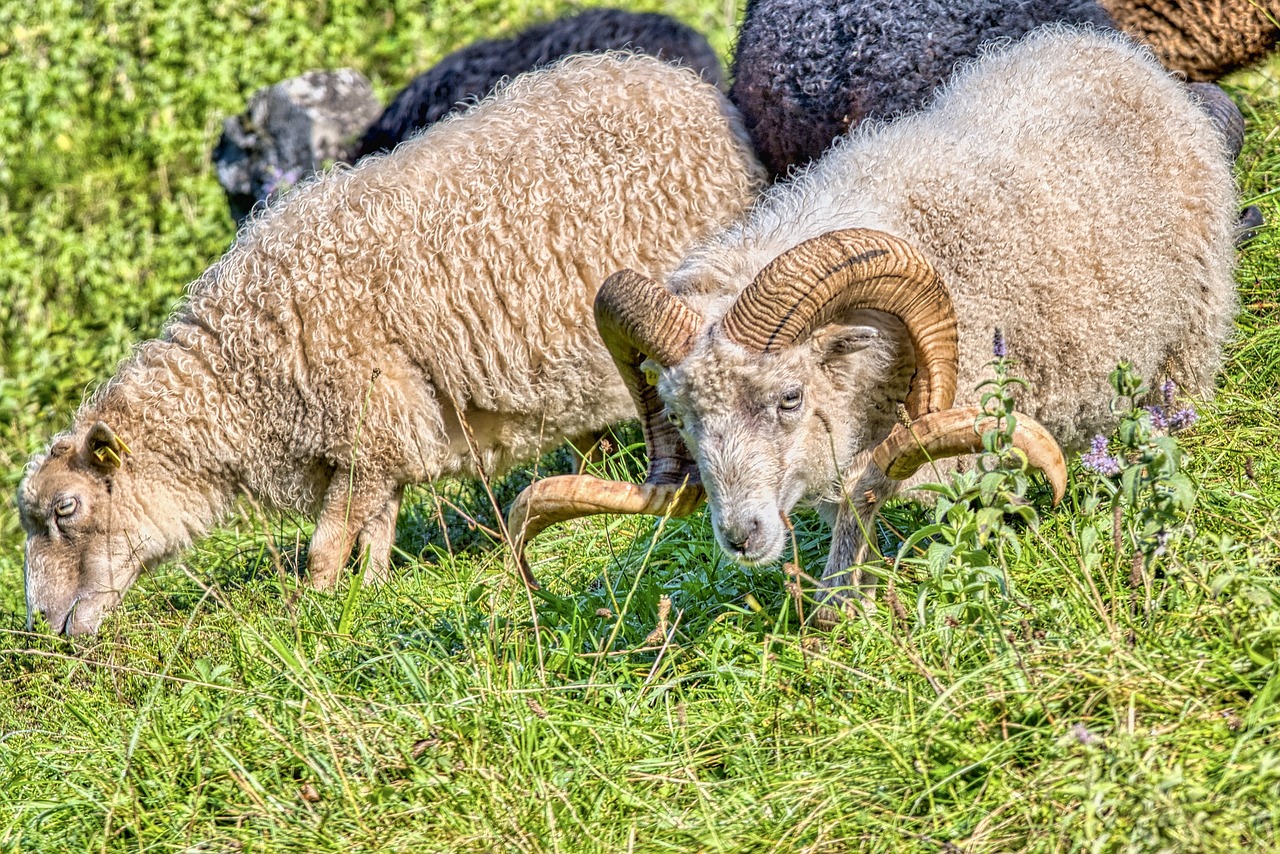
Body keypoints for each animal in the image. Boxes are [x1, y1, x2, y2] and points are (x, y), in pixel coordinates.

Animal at [20, 51, 762, 635]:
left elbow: (326, 546)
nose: (45, 626)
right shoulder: (377, 441)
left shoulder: (365, 424)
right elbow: (376, 528)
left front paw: (311, 614)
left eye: (66, 508)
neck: (239, 374)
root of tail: (685, 84)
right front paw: (371, 593)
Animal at [509, 25, 1239, 601]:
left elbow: (867, 494)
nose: (740, 535)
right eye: (681, 415)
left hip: (1191, 331)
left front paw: (838, 607)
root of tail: (1104, 49)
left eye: (791, 397)